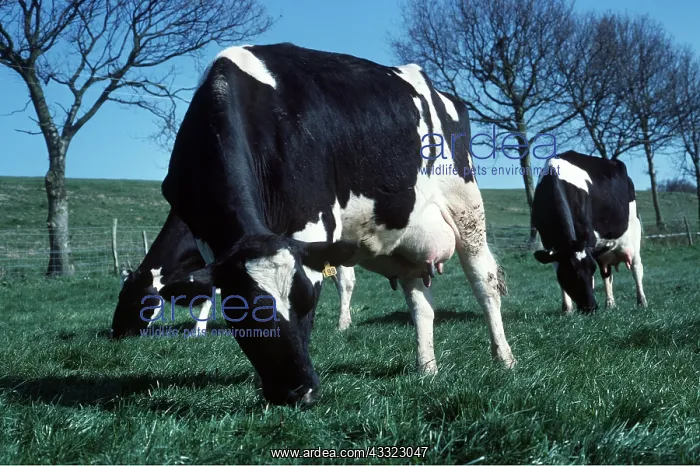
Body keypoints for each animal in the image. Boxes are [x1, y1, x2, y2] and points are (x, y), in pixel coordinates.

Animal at [110, 211, 358, 338]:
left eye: (135, 300)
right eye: (119, 296)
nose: (116, 332)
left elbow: (209, 292)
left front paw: (198, 330)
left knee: (345, 281)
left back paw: (342, 324)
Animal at [158, 42, 515, 406]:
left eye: (309, 301)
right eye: (239, 310)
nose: (299, 392)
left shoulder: (313, 225)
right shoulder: (210, 238)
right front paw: (260, 384)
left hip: (467, 208)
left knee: (485, 281)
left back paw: (504, 358)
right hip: (408, 241)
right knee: (421, 305)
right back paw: (426, 368)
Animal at [531, 150, 648, 313]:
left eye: (591, 270)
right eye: (570, 274)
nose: (591, 307)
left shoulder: (589, 238)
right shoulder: (549, 244)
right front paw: (567, 309)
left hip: (634, 232)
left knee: (637, 268)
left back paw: (642, 302)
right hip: (604, 250)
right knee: (606, 273)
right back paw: (610, 304)